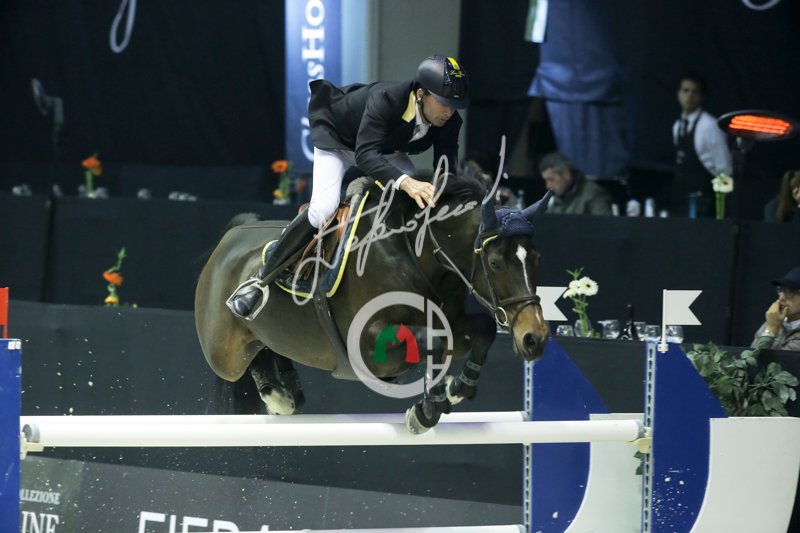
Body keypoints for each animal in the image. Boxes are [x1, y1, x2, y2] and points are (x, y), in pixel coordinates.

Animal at [195, 166, 551, 433]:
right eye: (496, 263)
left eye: (537, 258)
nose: (534, 338)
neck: (415, 256)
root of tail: (233, 235)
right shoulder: (368, 346)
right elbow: (434, 341)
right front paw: (429, 408)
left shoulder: (452, 322)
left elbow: (481, 329)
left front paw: (457, 388)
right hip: (224, 354)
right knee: (245, 359)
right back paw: (275, 390)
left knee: (270, 348)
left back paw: (289, 391)